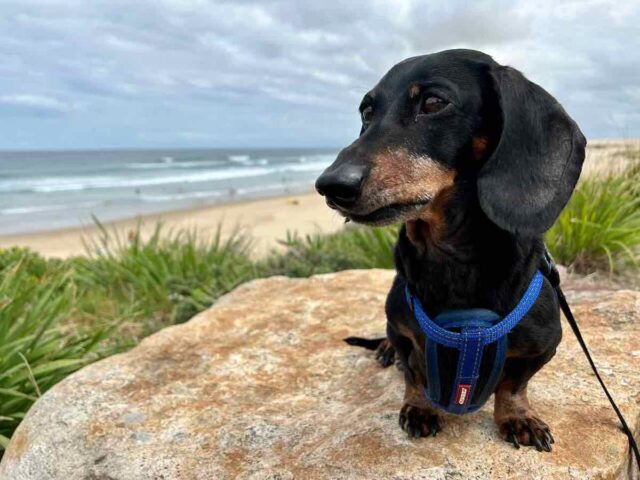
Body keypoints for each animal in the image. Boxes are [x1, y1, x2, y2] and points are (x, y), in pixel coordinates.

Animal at [316, 50, 584, 452]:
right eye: (367, 112)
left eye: (433, 103)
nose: (330, 186)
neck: (451, 256)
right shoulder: (403, 330)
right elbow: (415, 375)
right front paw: (419, 407)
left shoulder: (545, 344)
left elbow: (514, 384)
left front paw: (517, 416)